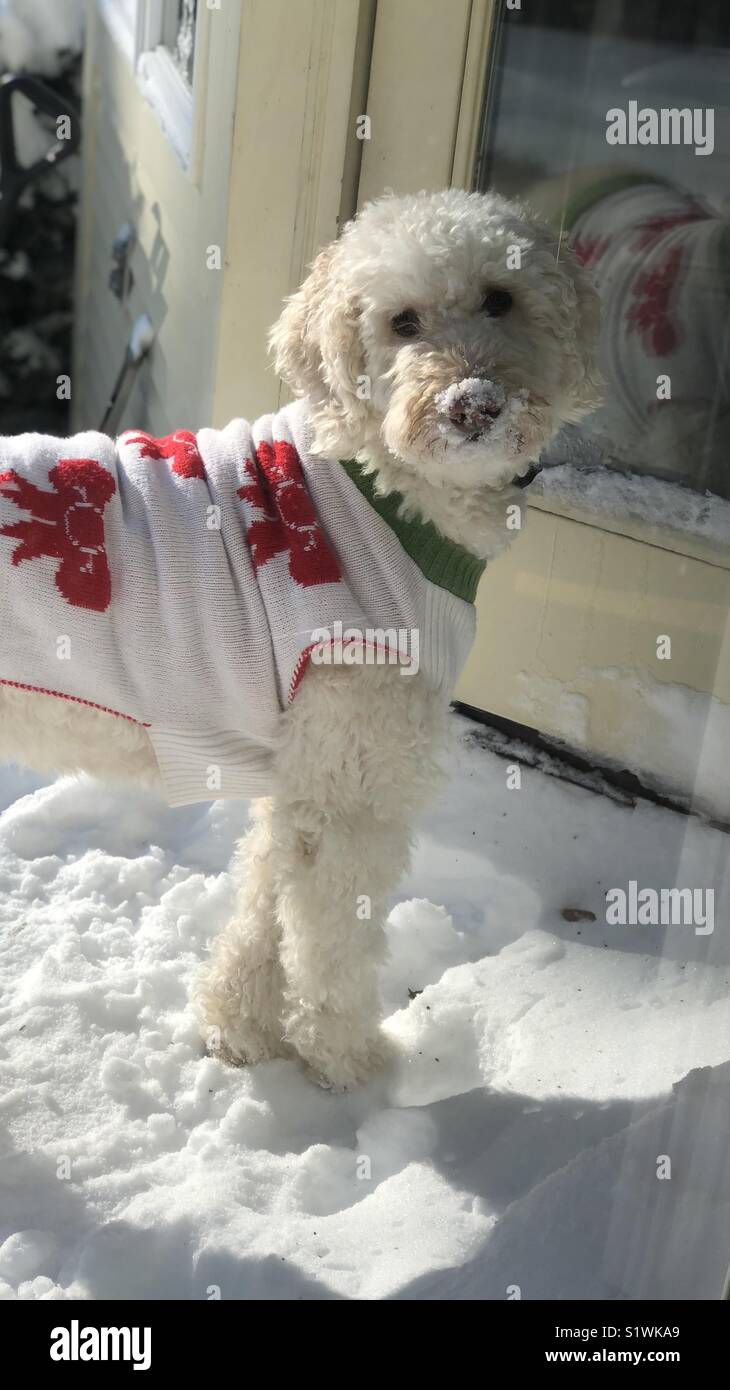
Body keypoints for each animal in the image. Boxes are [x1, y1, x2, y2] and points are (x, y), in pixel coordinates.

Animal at [0, 190, 597, 1089]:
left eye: (502, 298)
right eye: (401, 321)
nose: (473, 404)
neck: (384, 490)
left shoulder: (303, 771)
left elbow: (264, 904)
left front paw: (240, 1031)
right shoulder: (356, 780)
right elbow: (330, 938)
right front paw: (348, 1060)